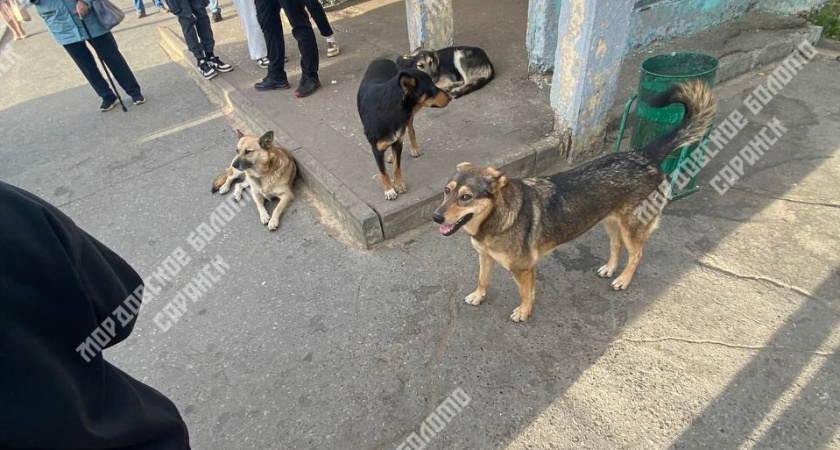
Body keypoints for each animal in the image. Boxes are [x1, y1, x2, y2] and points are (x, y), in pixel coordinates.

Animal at [356, 59, 452, 200]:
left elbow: (397, 167)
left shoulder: (399, 142)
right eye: (432, 88)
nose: (451, 97)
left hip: (408, 118)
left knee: (411, 130)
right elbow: (383, 172)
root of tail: (382, 59)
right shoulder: (376, 149)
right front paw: (389, 189)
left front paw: (399, 184)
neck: (389, 109)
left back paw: (414, 148)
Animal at [434, 79, 716, 322]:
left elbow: (527, 294)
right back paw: (610, 268)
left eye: (466, 197)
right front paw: (478, 296)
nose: (436, 217)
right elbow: (483, 279)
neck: (495, 218)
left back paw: (624, 279)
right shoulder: (485, 257)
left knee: (636, 254)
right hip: (610, 222)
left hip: (632, 228)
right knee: (616, 247)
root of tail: (645, 154)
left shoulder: (524, 269)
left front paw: (524, 312)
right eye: (446, 191)